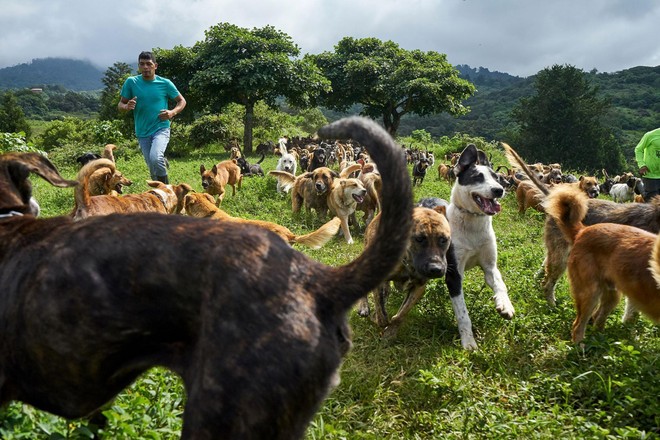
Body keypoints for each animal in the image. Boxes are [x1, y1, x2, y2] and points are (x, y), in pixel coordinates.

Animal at [358, 205, 452, 336]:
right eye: (419, 239)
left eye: (443, 239)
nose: (436, 269)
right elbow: (381, 315)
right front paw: (377, 318)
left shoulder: (418, 287)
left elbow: (402, 313)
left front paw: (391, 331)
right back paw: (364, 306)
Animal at [444, 144, 516, 350]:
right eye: (477, 177)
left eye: (497, 178)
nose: (499, 190)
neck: (472, 221)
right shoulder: (454, 274)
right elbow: (463, 313)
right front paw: (468, 341)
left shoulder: (490, 266)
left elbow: (500, 284)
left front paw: (505, 305)